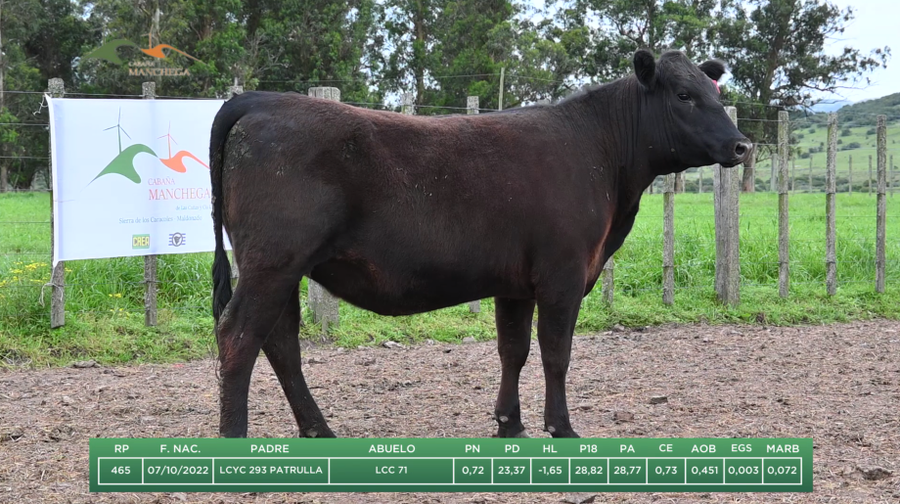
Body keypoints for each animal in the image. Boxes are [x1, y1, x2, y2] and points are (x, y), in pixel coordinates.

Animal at [208, 49, 752, 439]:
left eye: (715, 91)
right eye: (684, 95)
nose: (743, 144)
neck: (602, 154)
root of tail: (260, 99)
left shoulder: (515, 282)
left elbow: (513, 350)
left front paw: (510, 424)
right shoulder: (562, 273)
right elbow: (556, 352)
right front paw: (561, 427)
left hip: (281, 267)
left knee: (281, 343)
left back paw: (319, 431)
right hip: (273, 262)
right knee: (239, 336)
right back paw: (237, 439)